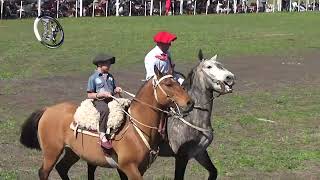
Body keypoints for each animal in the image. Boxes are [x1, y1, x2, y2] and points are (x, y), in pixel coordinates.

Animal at [21, 67, 195, 179]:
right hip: (51, 152)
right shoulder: (129, 167)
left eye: (178, 83)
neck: (137, 127)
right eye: (168, 84)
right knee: (44, 172)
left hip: (72, 152)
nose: (190, 102)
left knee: (62, 168)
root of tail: (48, 109)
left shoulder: (140, 168)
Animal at [158, 49, 235, 180]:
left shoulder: (200, 152)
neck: (191, 118)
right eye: (209, 66)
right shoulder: (181, 157)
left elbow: (213, 171)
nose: (230, 77)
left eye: (221, 65)